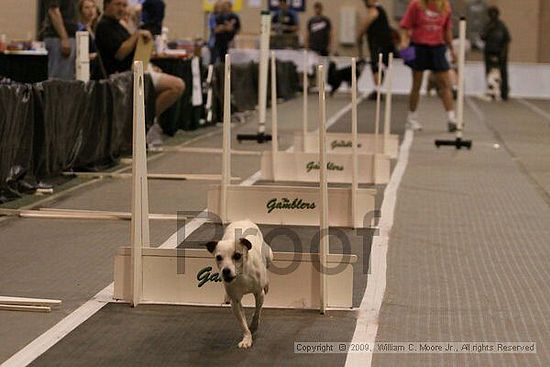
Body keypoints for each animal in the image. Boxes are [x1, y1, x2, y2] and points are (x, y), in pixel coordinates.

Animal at [206, 220, 274, 350]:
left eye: (237, 256)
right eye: (218, 257)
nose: (226, 271)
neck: (241, 275)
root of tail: (244, 220)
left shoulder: (259, 294)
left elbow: (257, 312)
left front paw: (253, 326)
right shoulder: (235, 302)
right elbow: (242, 324)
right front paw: (247, 339)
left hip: (269, 256)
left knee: (267, 266)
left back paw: (267, 283)